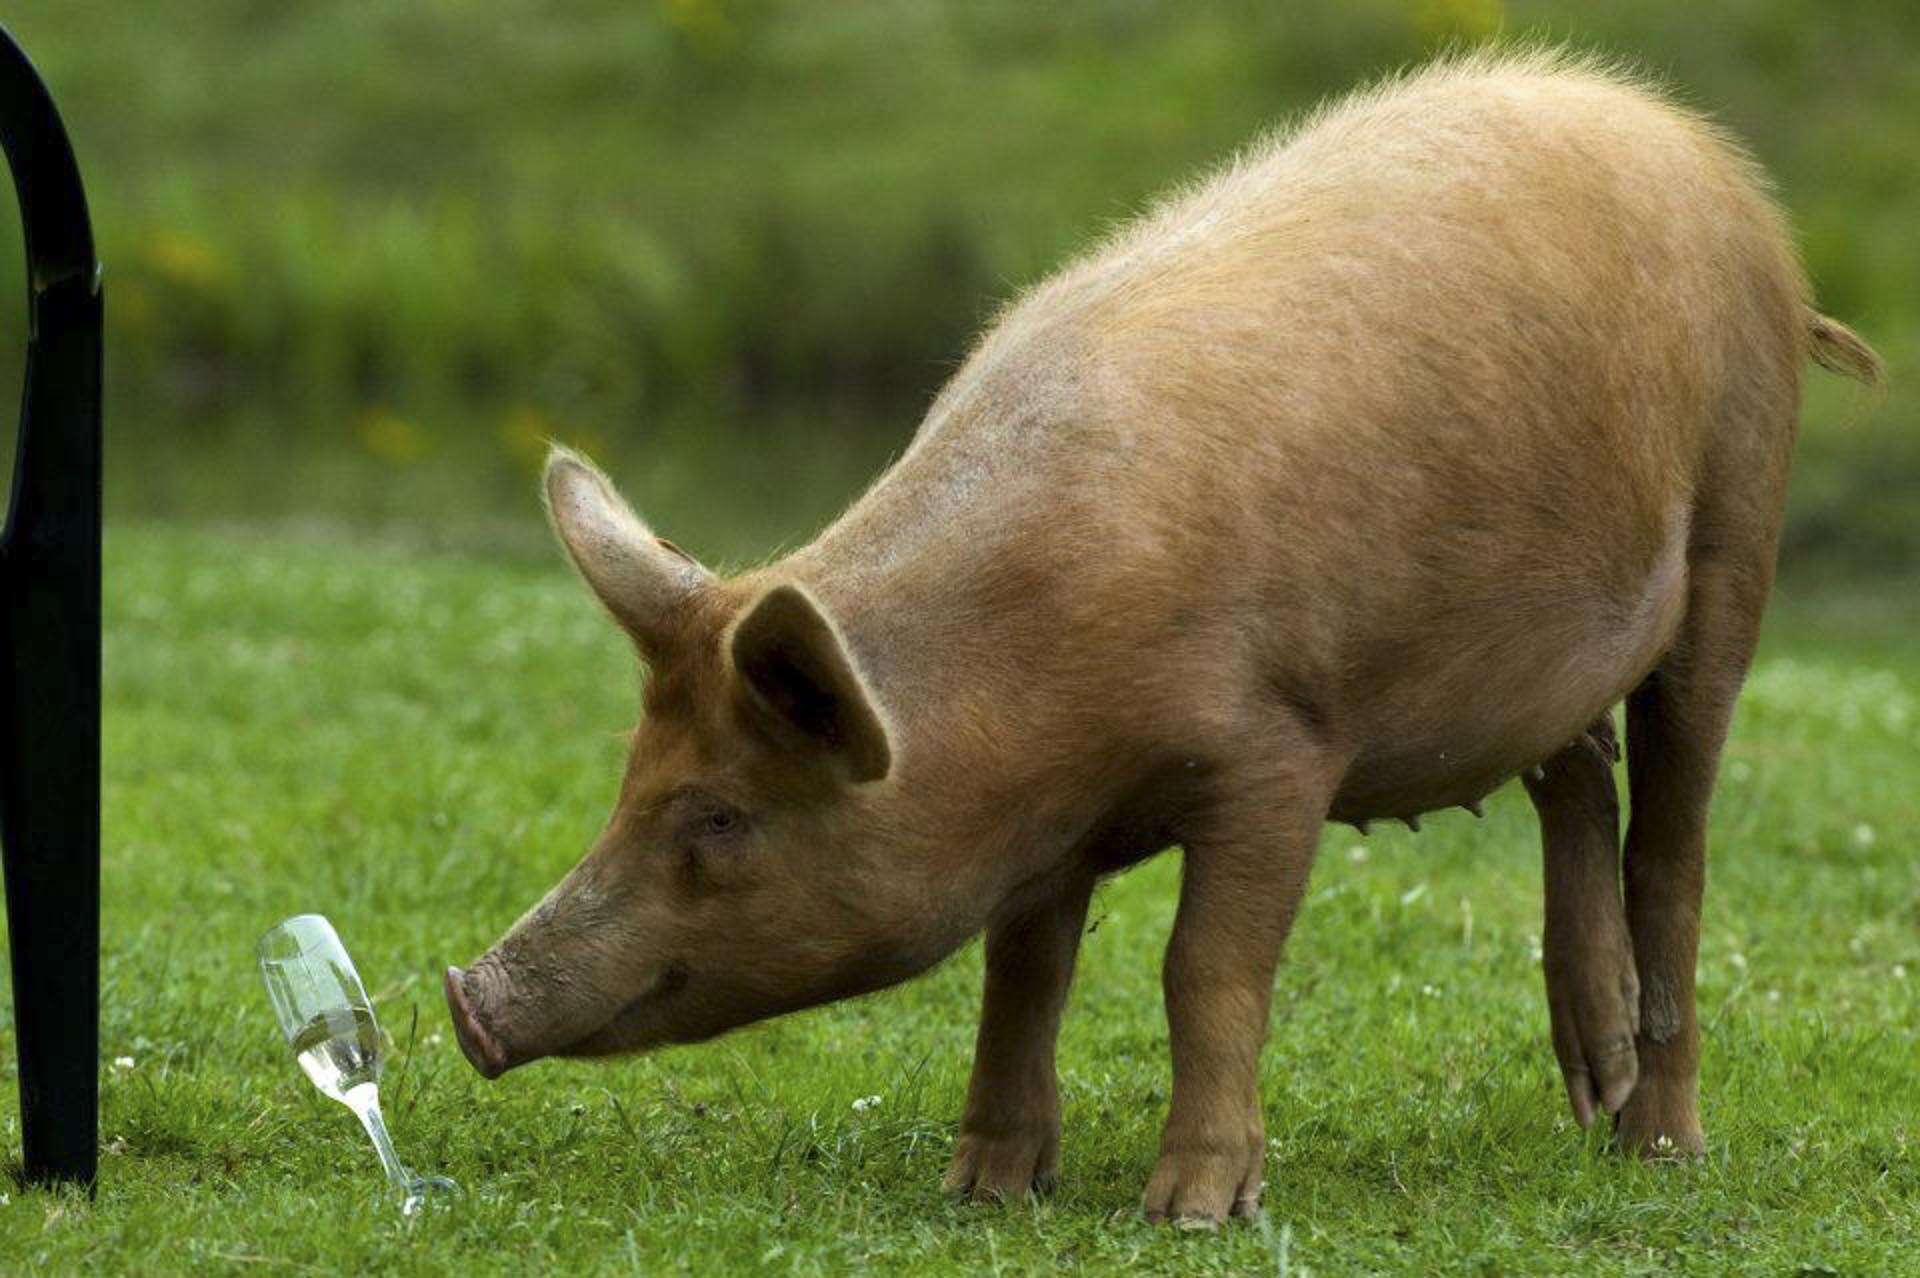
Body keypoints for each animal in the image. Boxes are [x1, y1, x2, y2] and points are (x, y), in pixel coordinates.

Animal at [446, 48, 1882, 1223]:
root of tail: (1705, 154)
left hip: (1739, 520)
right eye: (629, 783)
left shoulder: (1280, 752)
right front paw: (985, 1187)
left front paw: (1190, 1211)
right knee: (1576, 772)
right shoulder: (1040, 825)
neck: (1026, 695)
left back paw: (1659, 1148)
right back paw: (1593, 1095)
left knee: (1674, 842)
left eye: (722, 815)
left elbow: (1206, 968)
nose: (467, 999)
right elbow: (1023, 972)